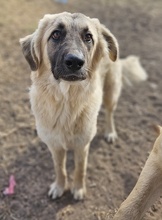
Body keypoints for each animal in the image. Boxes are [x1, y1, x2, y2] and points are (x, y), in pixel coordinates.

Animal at [19, 12, 147, 201]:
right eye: (55, 34)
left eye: (88, 37)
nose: (75, 62)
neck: (66, 102)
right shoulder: (55, 146)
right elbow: (60, 169)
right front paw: (59, 187)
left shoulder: (82, 145)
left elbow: (80, 169)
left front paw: (78, 189)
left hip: (111, 93)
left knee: (110, 113)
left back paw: (110, 132)